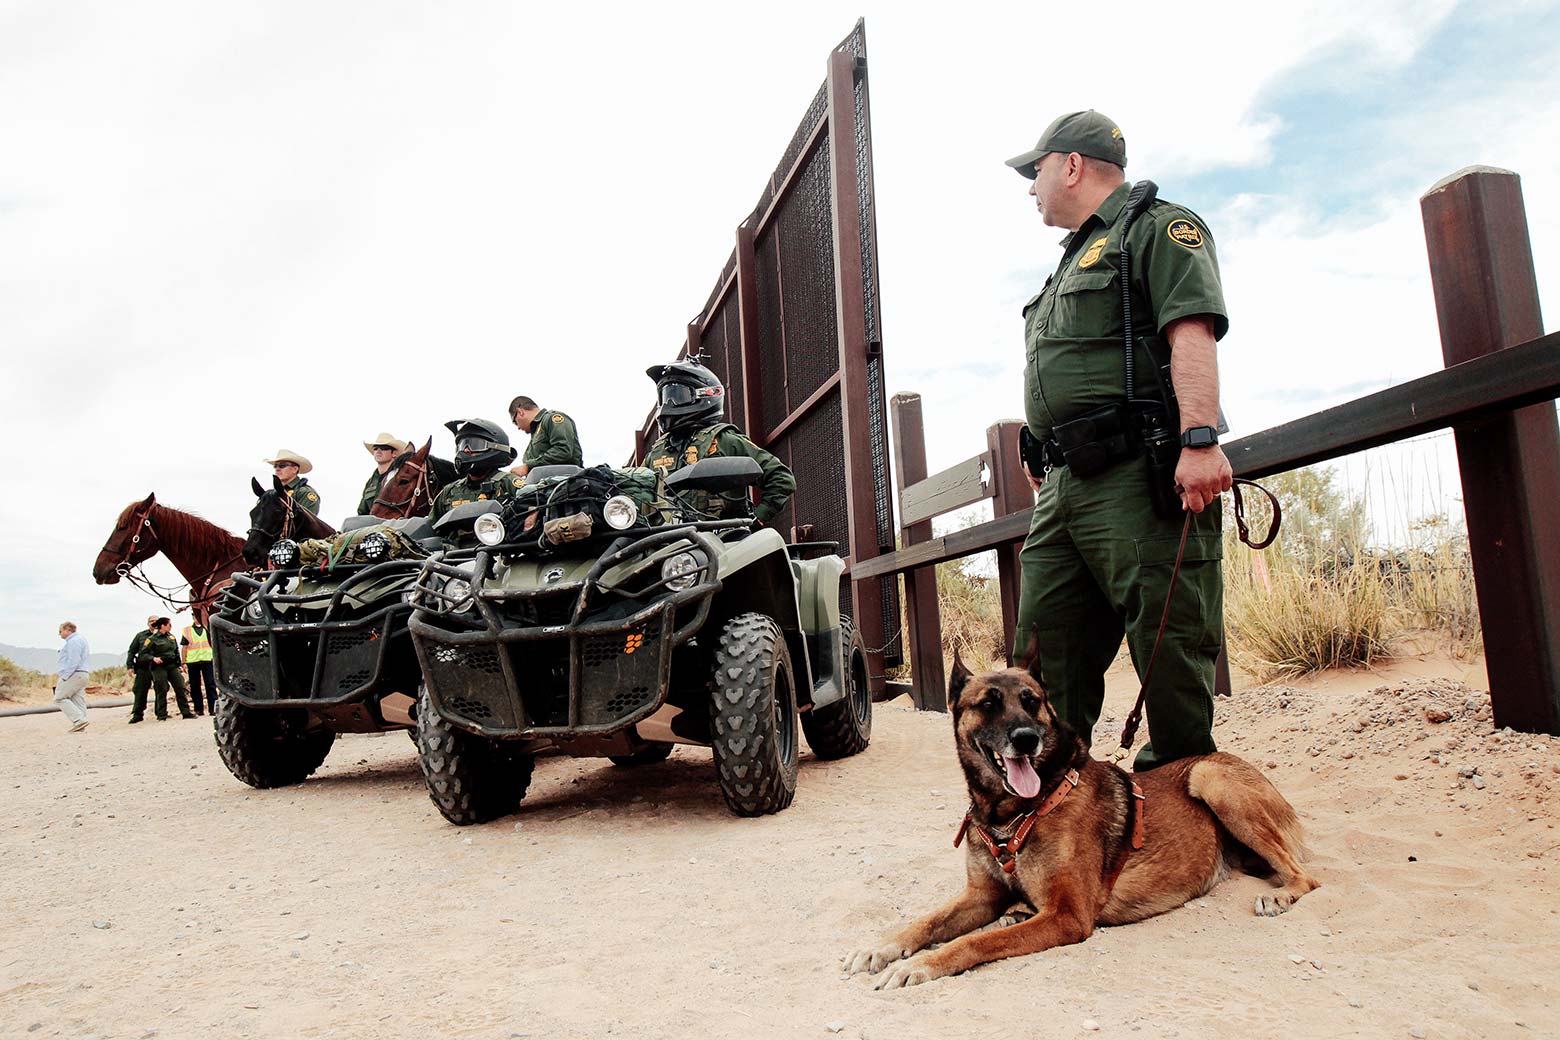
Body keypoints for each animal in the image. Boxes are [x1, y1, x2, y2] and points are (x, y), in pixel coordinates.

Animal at [842, 654, 1316, 991]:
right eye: (988, 704)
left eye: (1032, 702)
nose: (1026, 739)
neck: (1013, 813)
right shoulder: (981, 896)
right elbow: (925, 921)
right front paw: (881, 945)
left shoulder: (1066, 917)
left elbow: (972, 940)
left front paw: (922, 963)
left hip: (1209, 778)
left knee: (1306, 877)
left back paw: (1282, 894)